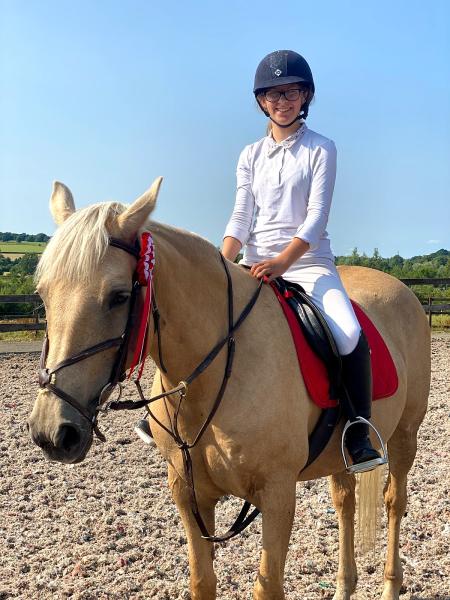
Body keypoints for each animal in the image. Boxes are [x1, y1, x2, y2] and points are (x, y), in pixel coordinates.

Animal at [28, 179, 428, 600]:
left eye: (119, 296)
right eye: (43, 294)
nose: (52, 432)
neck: (215, 374)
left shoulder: (277, 495)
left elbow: (267, 587)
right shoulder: (188, 494)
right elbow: (202, 582)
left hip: (405, 434)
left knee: (394, 501)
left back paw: (390, 585)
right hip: (340, 453)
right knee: (345, 502)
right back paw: (343, 587)